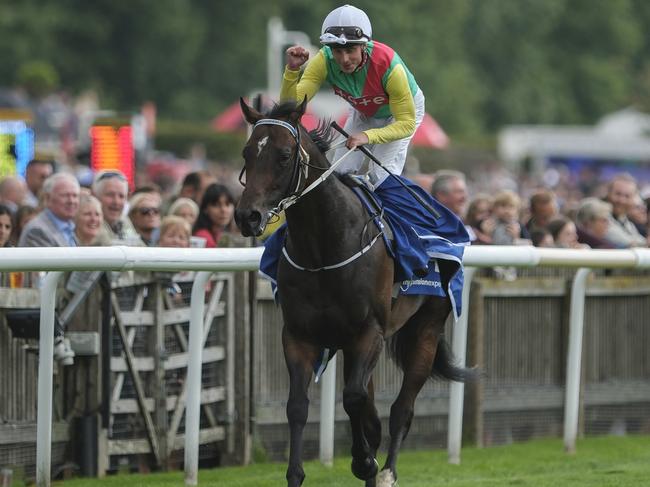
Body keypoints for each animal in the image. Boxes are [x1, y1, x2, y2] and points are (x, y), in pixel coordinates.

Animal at [235, 99, 474, 487]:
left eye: (284, 156)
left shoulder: (368, 331)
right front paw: (296, 474)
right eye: (247, 152)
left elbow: (353, 399)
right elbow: (298, 406)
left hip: (425, 328)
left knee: (402, 408)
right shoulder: (299, 335)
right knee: (373, 413)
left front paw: (364, 463)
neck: (322, 249)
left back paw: (387, 470)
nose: (247, 217)